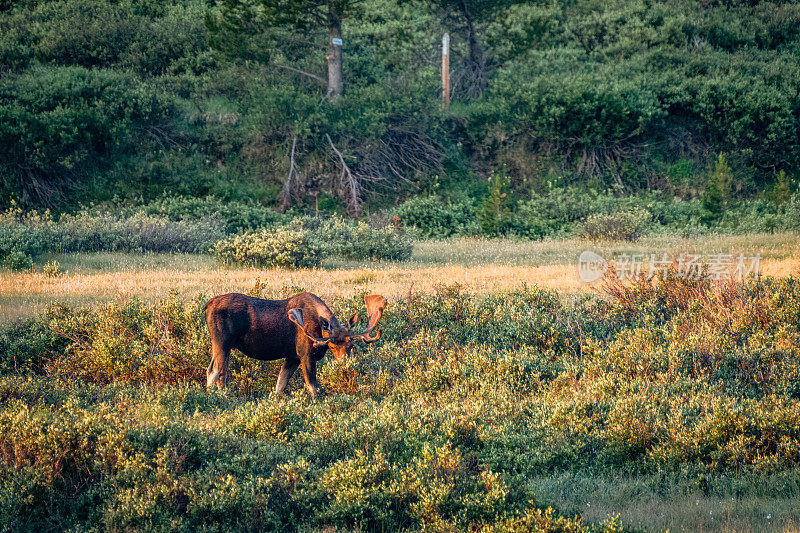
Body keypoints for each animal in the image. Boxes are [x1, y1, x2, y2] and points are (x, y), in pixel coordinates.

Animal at [203, 290, 384, 394]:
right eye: (331, 346)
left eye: (351, 345)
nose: (345, 366)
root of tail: (207, 305)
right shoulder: (305, 355)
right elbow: (313, 387)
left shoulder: (293, 357)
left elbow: (280, 385)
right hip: (221, 342)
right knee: (213, 371)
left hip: (227, 347)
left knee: (222, 373)